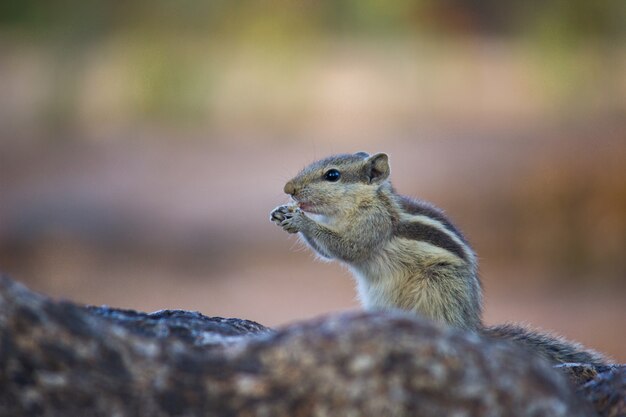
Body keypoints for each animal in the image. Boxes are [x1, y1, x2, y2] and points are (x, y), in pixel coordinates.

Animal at [268, 151, 604, 366]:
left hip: (438, 287)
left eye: (332, 175)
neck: (367, 202)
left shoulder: (372, 225)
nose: (288, 188)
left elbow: (346, 247)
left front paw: (301, 220)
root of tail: (473, 326)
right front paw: (282, 213)